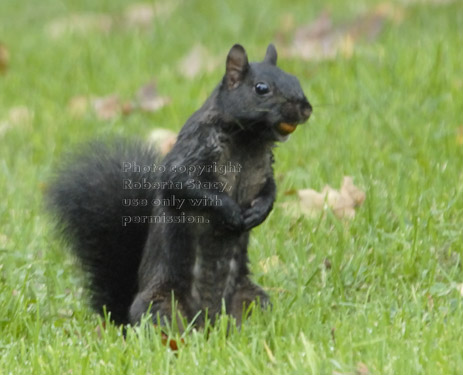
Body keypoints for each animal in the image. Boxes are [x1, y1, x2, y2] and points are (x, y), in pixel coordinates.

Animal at [48, 44, 312, 328]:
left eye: (295, 79)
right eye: (261, 88)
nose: (306, 109)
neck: (248, 139)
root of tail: (207, 319)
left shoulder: (265, 170)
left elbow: (270, 190)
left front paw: (260, 211)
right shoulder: (192, 153)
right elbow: (184, 185)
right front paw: (229, 210)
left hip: (252, 300)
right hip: (161, 302)